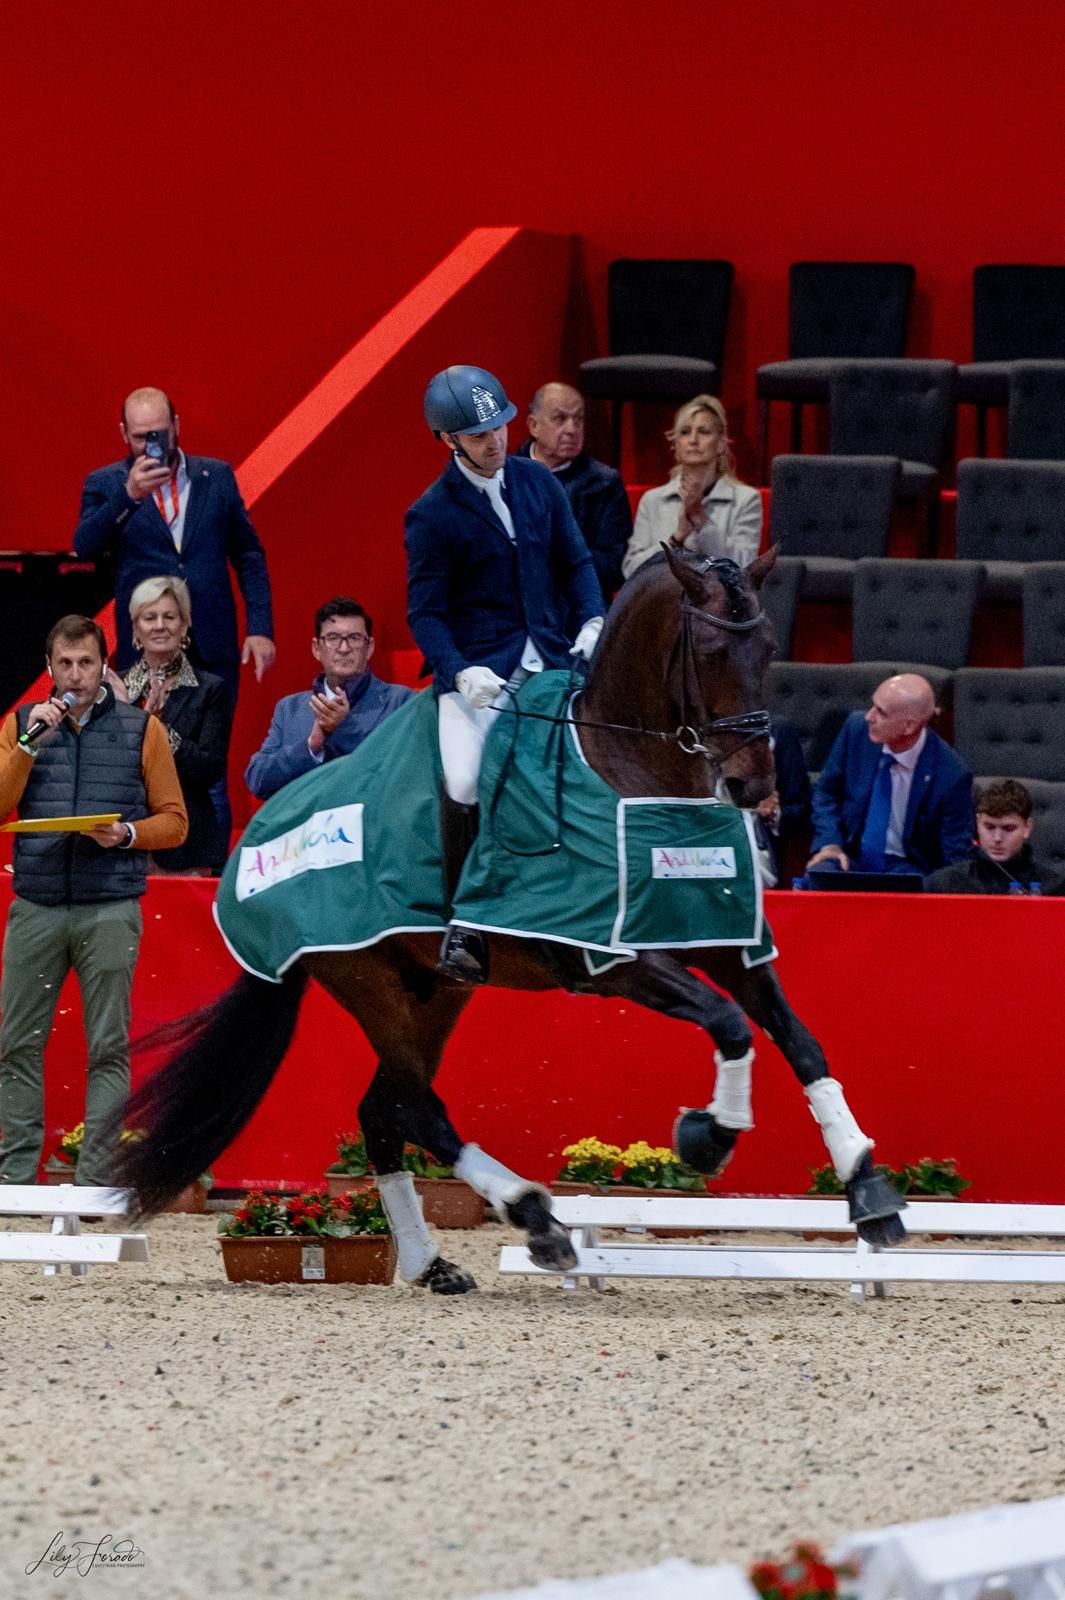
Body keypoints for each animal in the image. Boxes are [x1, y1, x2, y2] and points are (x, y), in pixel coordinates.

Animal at [115, 550, 901, 1286]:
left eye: (767, 647)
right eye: (708, 652)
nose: (751, 785)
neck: (634, 777)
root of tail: (255, 842)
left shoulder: (724, 942)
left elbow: (802, 1045)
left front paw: (869, 1191)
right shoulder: (612, 960)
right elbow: (731, 1025)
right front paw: (709, 1135)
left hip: (435, 991)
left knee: (382, 1112)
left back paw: (433, 1265)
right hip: (369, 982)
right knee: (416, 1108)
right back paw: (534, 1217)